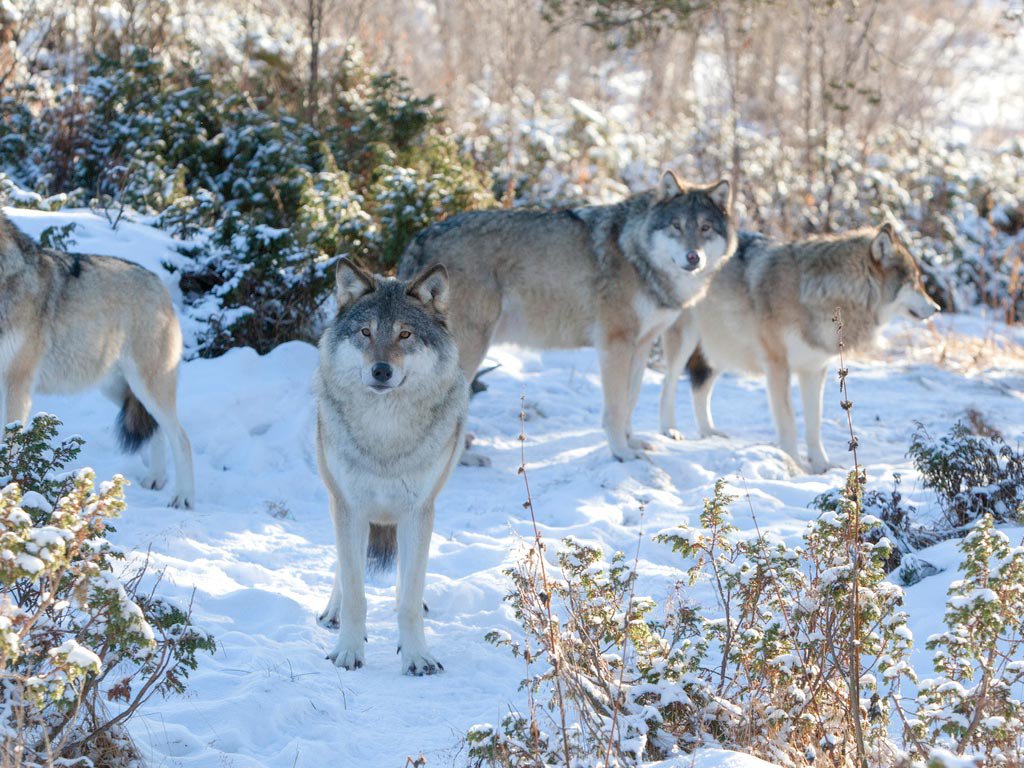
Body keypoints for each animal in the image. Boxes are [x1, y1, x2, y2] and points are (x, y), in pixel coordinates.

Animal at [0, 214, 195, 507]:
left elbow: (11, 445)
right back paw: (156, 479)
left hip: (147, 387)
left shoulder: (18, 382)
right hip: (118, 391)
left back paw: (183, 498)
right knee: (156, 429)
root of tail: (158, 282)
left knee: (181, 437)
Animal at [315, 257, 468, 671]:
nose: (381, 371)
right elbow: (355, 591)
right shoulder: (349, 506)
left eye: (405, 335)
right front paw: (348, 651)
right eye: (366, 332)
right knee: (342, 566)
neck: (386, 434)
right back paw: (332, 612)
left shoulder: (418, 510)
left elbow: (409, 599)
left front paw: (417, 657)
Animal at [397, 171, 737, 460]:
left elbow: (631, 400)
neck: (635, 254)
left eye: (705, 228)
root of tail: (420, 236)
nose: (693, 258)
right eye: (676, 226)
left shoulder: (640, 346)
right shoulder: (615, 343)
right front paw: (621, 453)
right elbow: (616, 408)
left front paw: (633, 443)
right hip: (471, 348)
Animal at [659, 221, 937, 475]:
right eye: (915, 281)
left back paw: (709, 433)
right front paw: (795, 464)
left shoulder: (814, 370)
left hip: (721, 349)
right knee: (669, 383)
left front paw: (822, 465)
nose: (936, 308)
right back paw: (669, 430)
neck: (818, 293)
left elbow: (814, 424)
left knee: (699, 388)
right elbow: (789, 422)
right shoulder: (777, 366)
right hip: (687, 340)